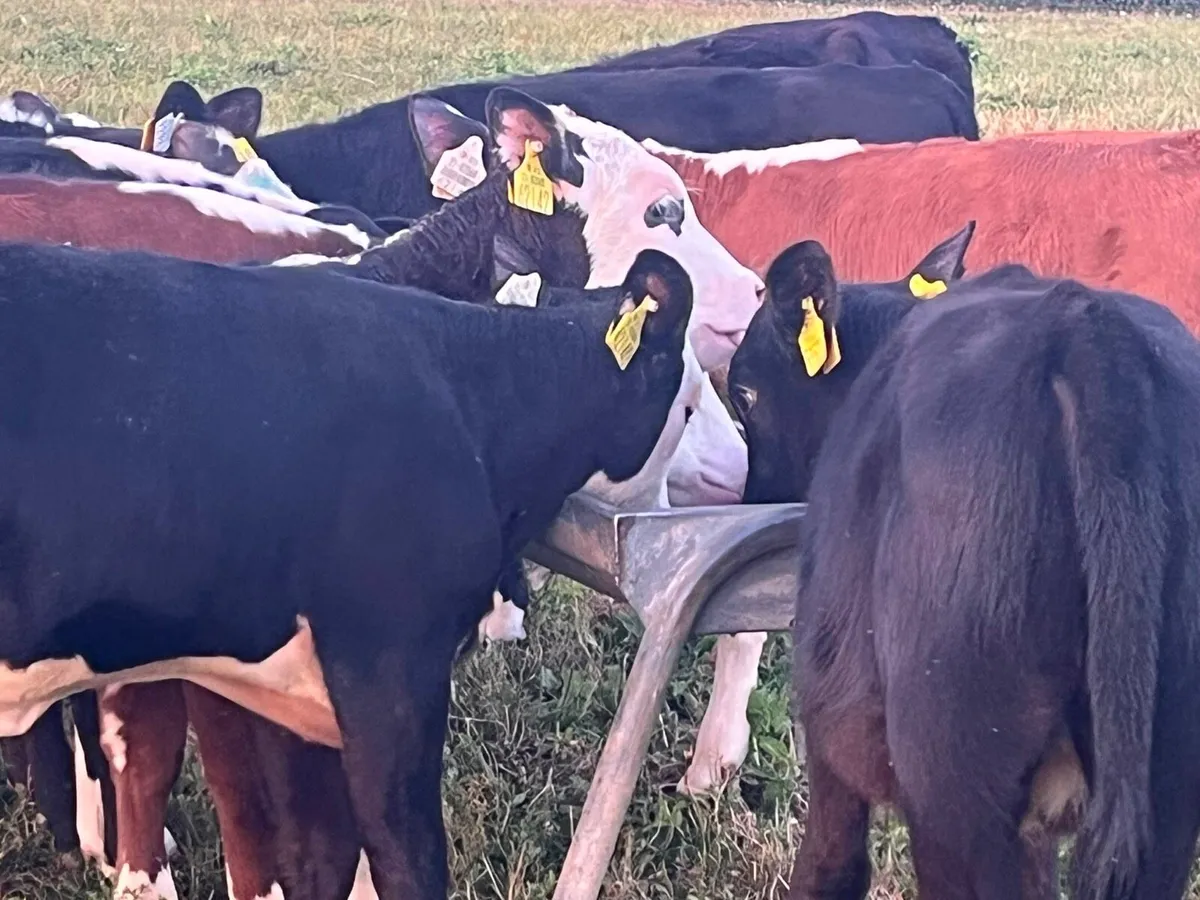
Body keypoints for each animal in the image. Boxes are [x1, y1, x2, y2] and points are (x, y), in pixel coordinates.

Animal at [729, 233, 1200, 899]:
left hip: (952, 778)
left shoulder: (828, 737)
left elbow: (830, 869)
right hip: (1167, 788)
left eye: (743, 393)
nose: (748, 498)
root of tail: (1087, 326)